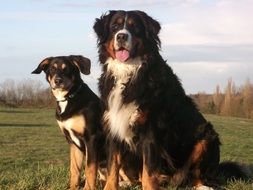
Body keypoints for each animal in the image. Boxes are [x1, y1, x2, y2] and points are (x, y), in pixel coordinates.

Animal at [31, 55, 105, 190]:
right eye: (52, 69)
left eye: (67, 69)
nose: (58, 81)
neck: (68, 98)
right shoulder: (71, 141)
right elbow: (74, 169)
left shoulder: (91, 137)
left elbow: (90, 169)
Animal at [93, 10, 249, 190]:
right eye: (115, 27)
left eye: (135, 27)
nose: (121, 36)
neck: (130, 73)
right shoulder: (113, 127)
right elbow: (113, 167)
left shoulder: (150, 132)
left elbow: (148, 172)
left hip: (206, 138)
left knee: (197, 176)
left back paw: (203, 186)